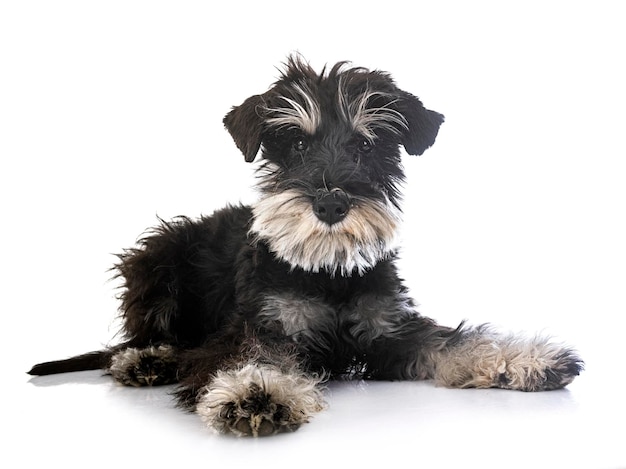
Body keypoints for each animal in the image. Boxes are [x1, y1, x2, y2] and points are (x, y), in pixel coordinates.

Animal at [26, 56, 584, 436]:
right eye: (296, 143)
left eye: (365, 145)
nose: (332, 203)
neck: (326, 270)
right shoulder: (263, 326)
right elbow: (250, 355)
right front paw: (255, 391)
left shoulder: (391, 330)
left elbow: (453, 341)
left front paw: (526, 358)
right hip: (157, 259)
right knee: (143, 337)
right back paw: (144, 360)